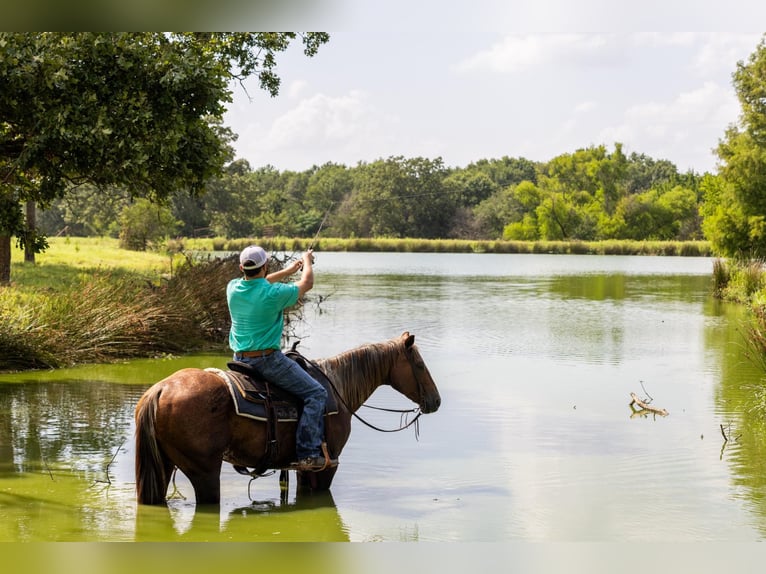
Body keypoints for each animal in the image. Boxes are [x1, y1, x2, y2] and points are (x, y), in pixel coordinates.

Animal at [135, 332, 441, 505]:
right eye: (419, 365)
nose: (436, 401)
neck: (338, 388)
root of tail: (160, 390)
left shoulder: (301, 468)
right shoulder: (326, 465)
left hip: (164, 465)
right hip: (205, 471)